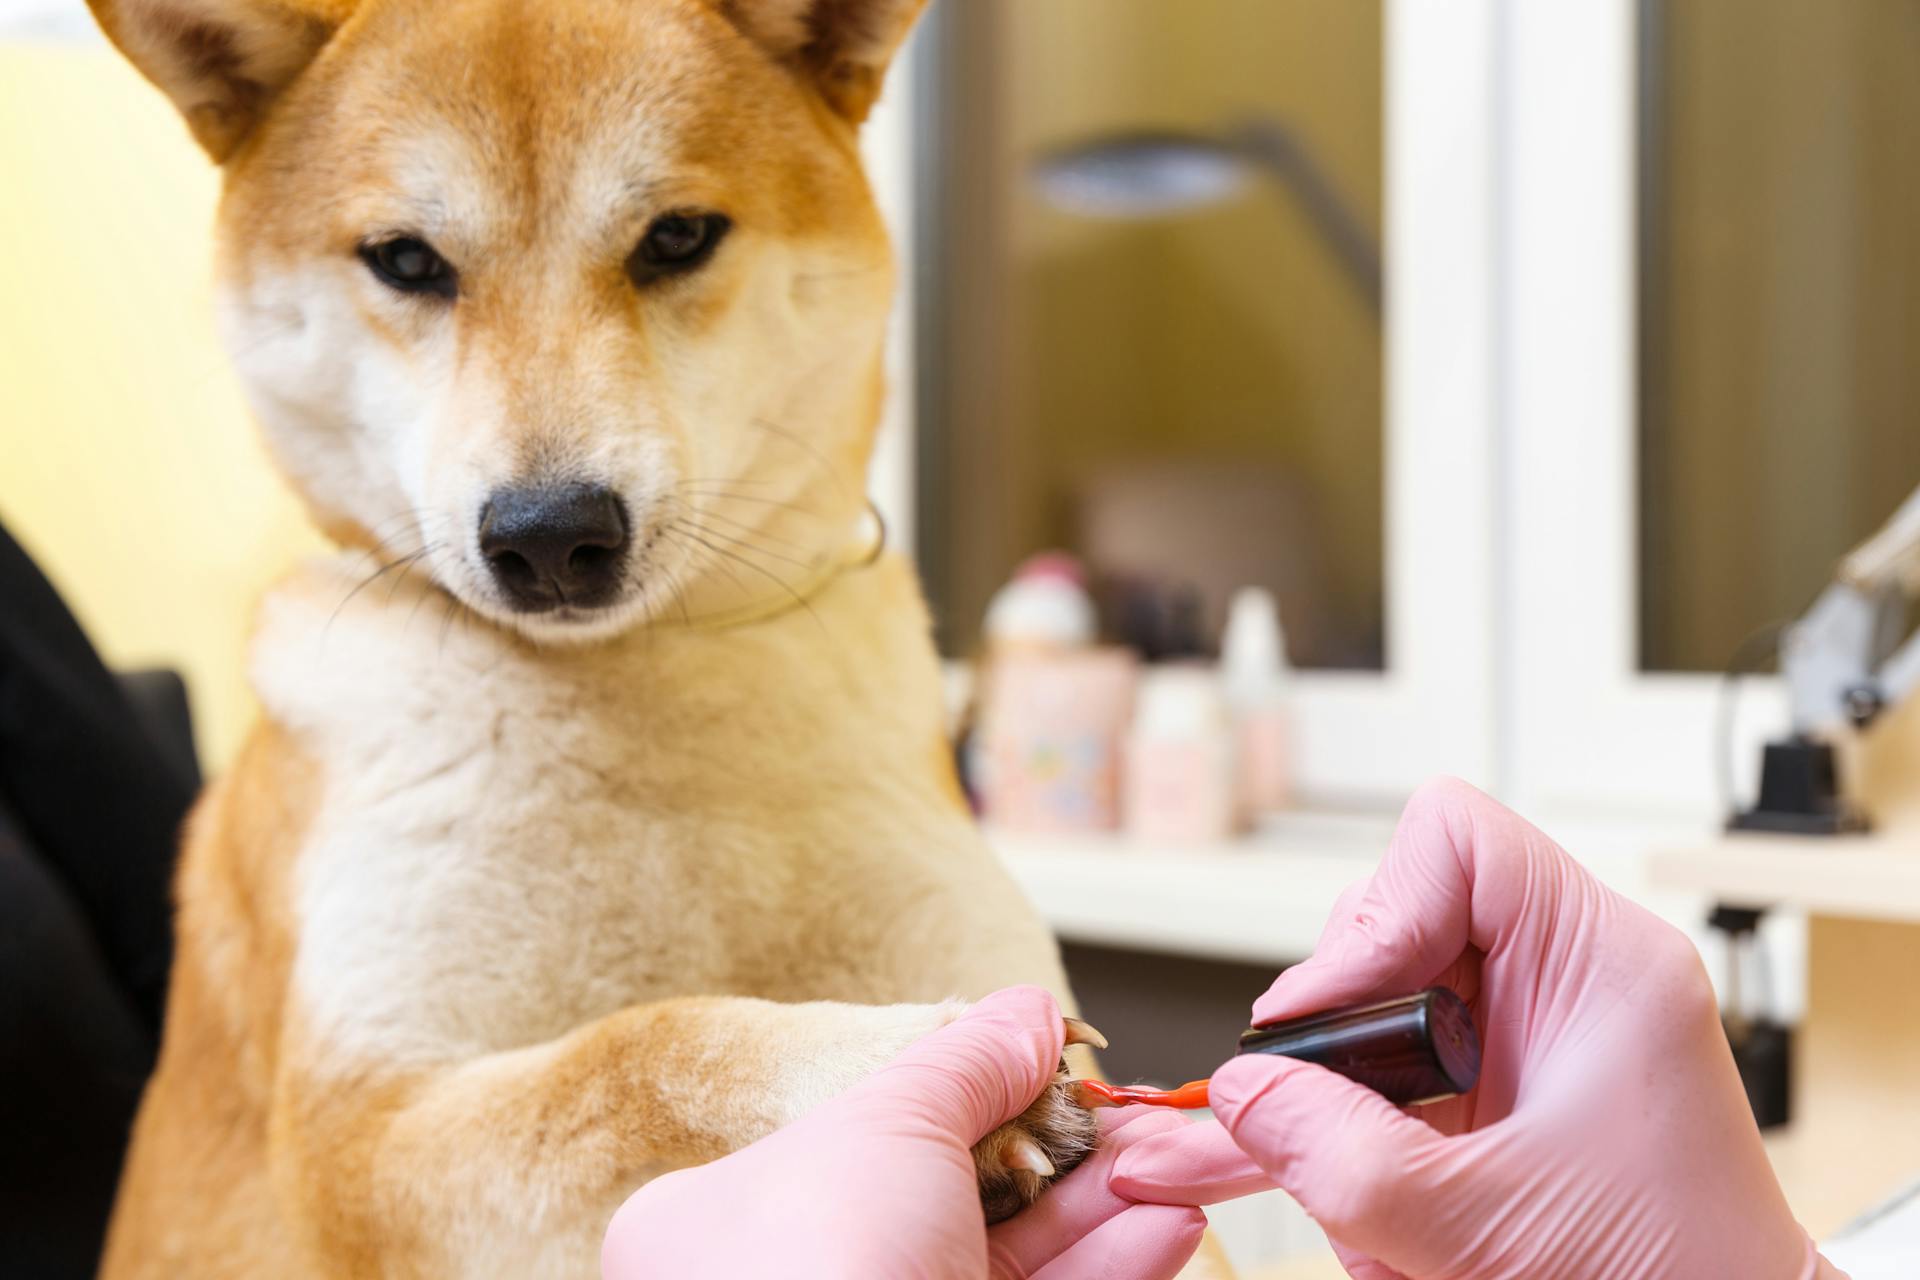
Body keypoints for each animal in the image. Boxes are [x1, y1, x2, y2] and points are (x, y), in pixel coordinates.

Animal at [82, 2, 1244, 1280]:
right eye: (406, 260)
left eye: (678, 236)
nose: (549, 536)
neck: (654, 689)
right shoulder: (358, 1136)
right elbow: (640, 1044)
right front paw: (897, 1064)